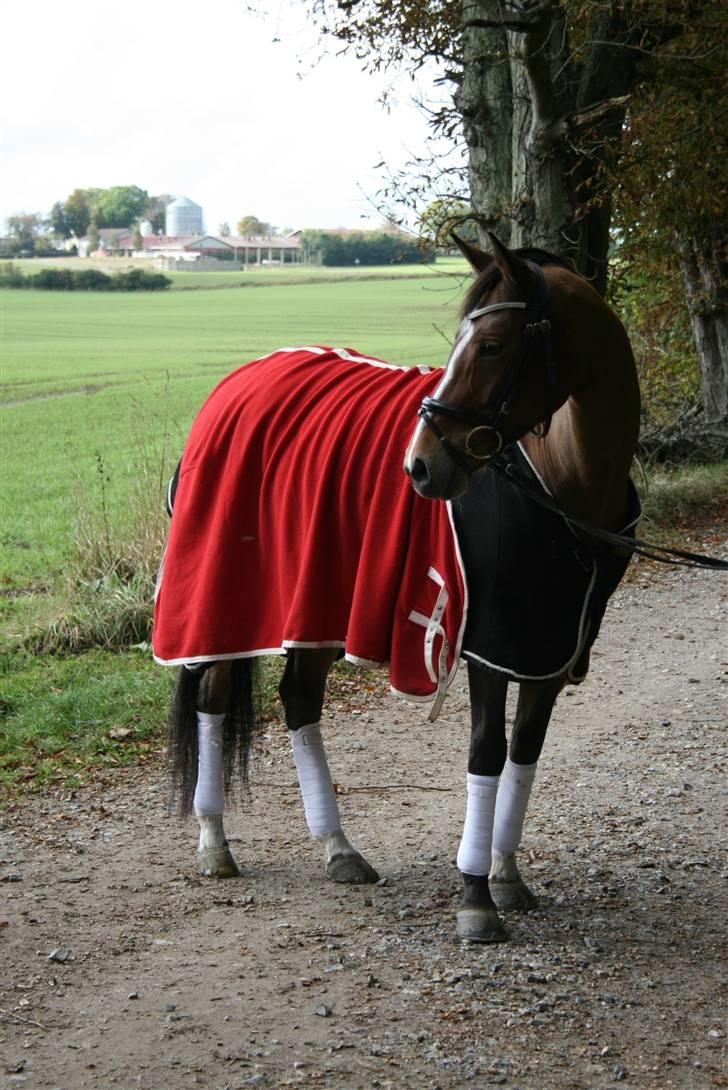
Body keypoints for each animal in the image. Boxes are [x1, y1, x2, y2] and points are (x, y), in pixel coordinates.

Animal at [153, 233, 641, 943]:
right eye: (463, 341)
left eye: (493, 345)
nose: (421, 465)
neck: (562, 484)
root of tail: (236, 384)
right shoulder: (488, 648)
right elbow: (487, 752)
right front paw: (475, 897)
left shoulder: (548, 650)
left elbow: (525, 753)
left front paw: (506, 874)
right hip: (225, 604)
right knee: (213, 698)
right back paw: (215, 840)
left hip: (316, 608)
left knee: (298, 699)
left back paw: (338, 848)